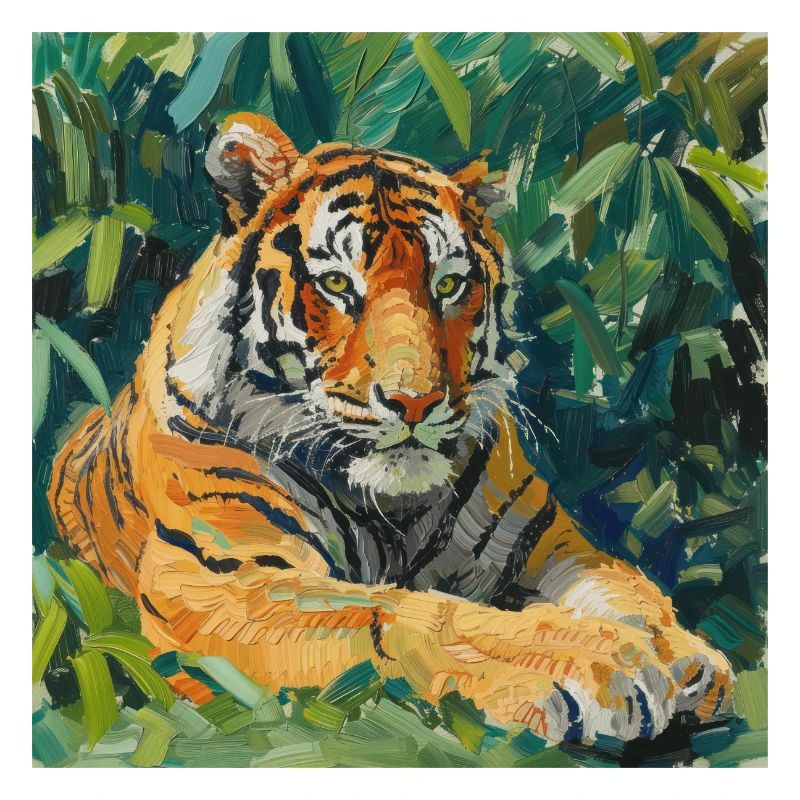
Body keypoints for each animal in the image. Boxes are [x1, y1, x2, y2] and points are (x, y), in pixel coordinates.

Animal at [49, 112, 733, 744]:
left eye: (449, 284)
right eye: (335, 284)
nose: (416, 401)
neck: (388, 510)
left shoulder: (552, 545)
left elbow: (626, 588)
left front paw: (685, 658)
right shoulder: (222, 577)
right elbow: (401, 611)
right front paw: (597, 663)